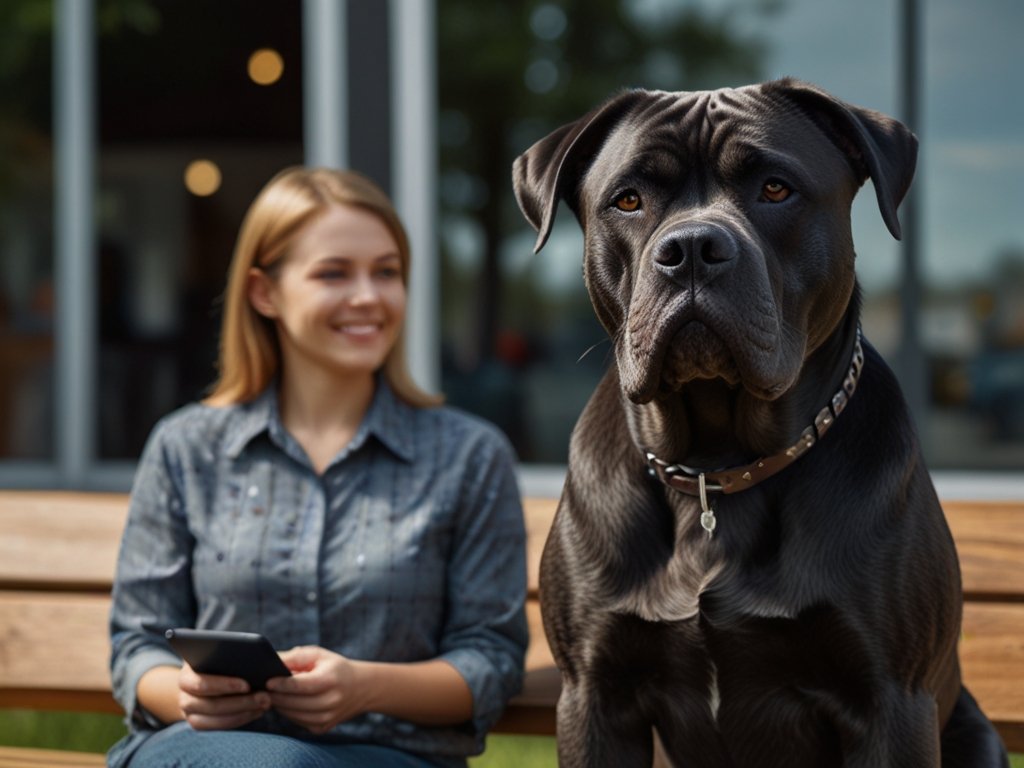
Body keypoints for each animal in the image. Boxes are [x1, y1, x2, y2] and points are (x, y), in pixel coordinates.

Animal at [512, 79, 1007, 768]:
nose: (692, 248)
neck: (716, 466)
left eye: (775, 188)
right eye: (628, 199)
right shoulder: (595, 695)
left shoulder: (891, 700)